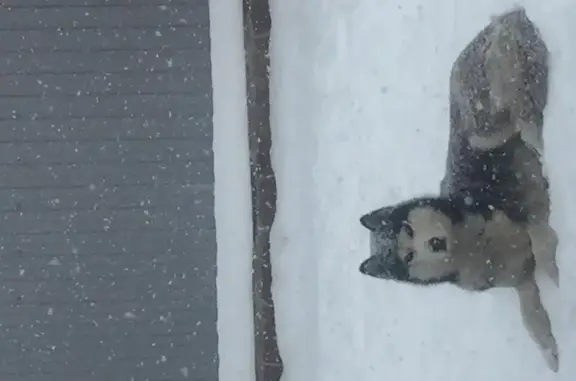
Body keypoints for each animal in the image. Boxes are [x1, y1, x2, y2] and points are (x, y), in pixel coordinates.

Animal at [358, 5, 560, 372]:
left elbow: (542, 242)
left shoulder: (523, 212)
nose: (435, 243)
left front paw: (555, 271)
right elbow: (534, 318)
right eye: (408, 255)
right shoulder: (521, 280)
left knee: (516, 115)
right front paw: (551, 354)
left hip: (482, 125)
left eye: (410, 230)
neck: (471, 243)